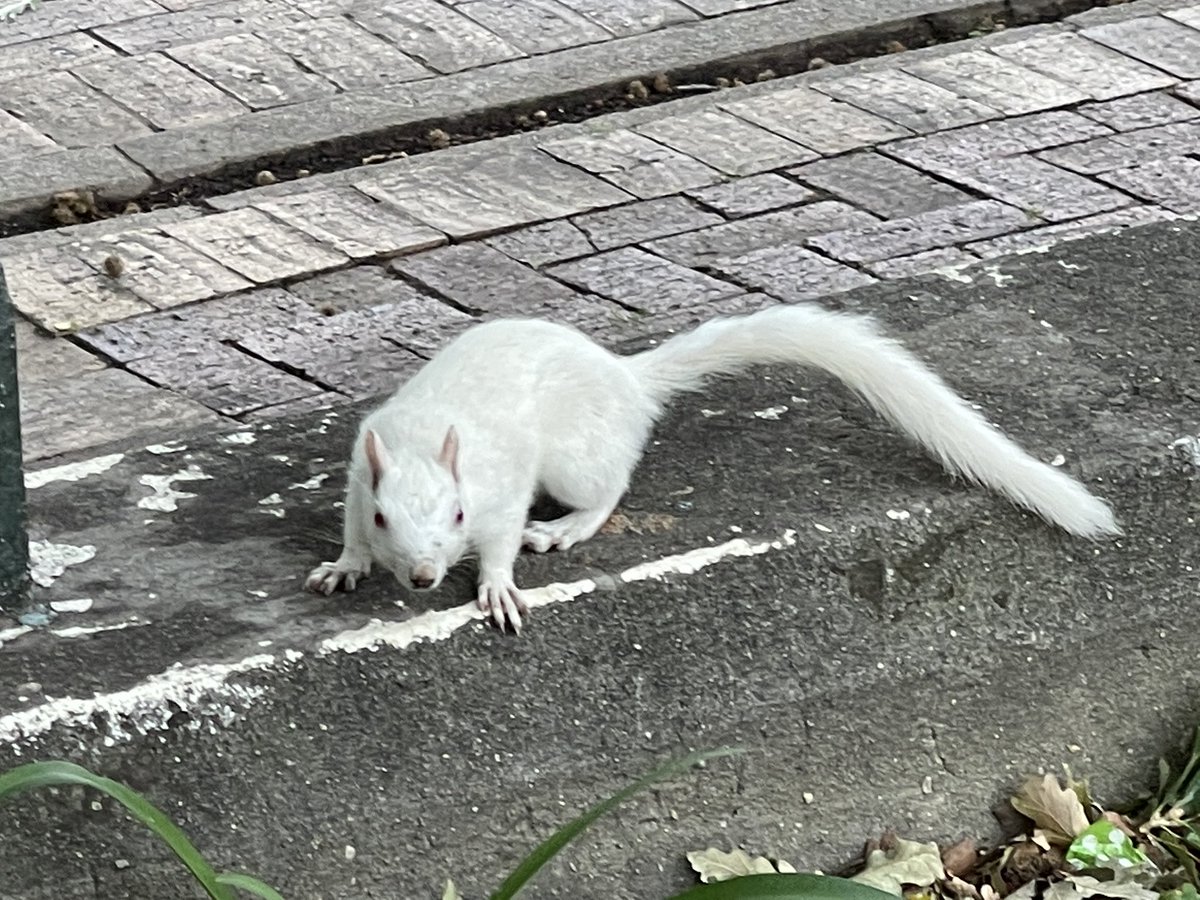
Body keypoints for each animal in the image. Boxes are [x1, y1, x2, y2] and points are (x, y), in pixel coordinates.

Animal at [305, 304, 1120, 634]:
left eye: (458, 515)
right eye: (384, 516)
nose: (421, 578)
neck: (423, 440)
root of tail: (628, 381)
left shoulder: (502, 494)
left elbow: (503, 542)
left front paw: (499, 587)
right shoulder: (358, 471)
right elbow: (347, 533)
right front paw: (344, 566)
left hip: (574, 460)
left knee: (609, 487)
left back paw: (568, 527)